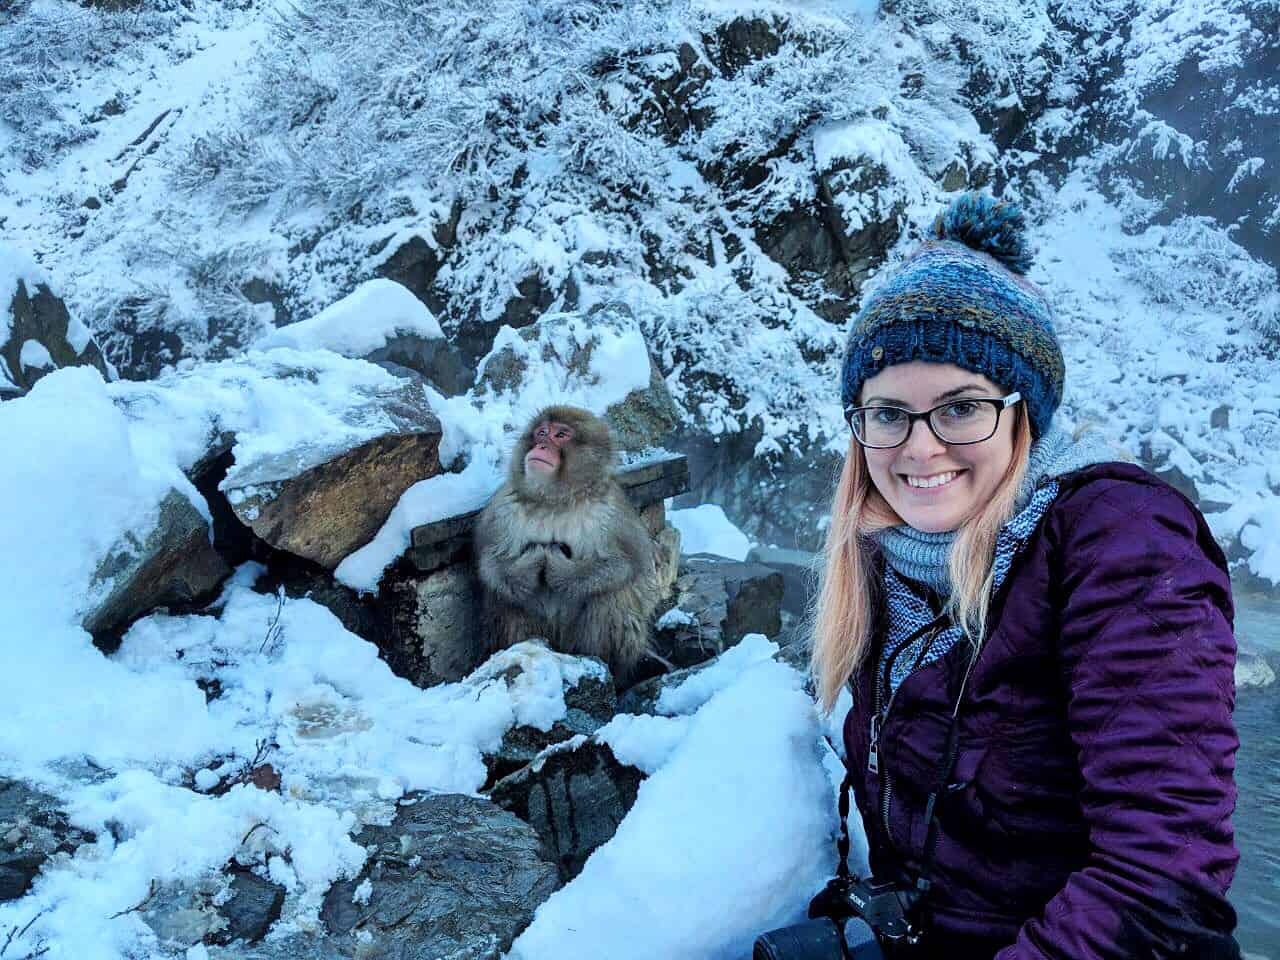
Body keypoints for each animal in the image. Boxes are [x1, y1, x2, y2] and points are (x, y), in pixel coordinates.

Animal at [476, 407, 665, 686]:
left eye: (561, 434)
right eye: (542, 432)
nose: (542, 445)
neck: (555, 500)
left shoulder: (612, 515)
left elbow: (625, 565)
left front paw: (559, 570)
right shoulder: (502, 509)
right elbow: (492, 563)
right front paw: (531, 563)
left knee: (608, 596)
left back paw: (607, 667)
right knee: (509, 598)